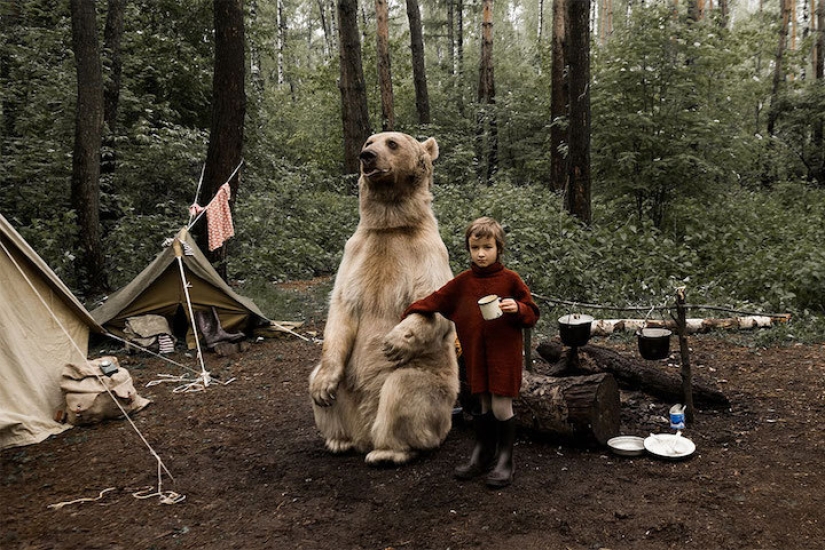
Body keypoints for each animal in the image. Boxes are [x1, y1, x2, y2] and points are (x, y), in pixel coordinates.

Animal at [308, 134, 460, 466]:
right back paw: (338, 438)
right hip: (349, 379)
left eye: (392, 143)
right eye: (369, 141)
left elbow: (435, 304)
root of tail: (365, 431)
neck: (391, 225)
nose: (367, 156)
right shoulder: (356, 251)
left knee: (404, 390)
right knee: (321, 383)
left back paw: (389, 450)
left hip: (434, 387)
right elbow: (341, 306)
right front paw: (322, 388)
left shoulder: (426, 251)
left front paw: (394, 341)